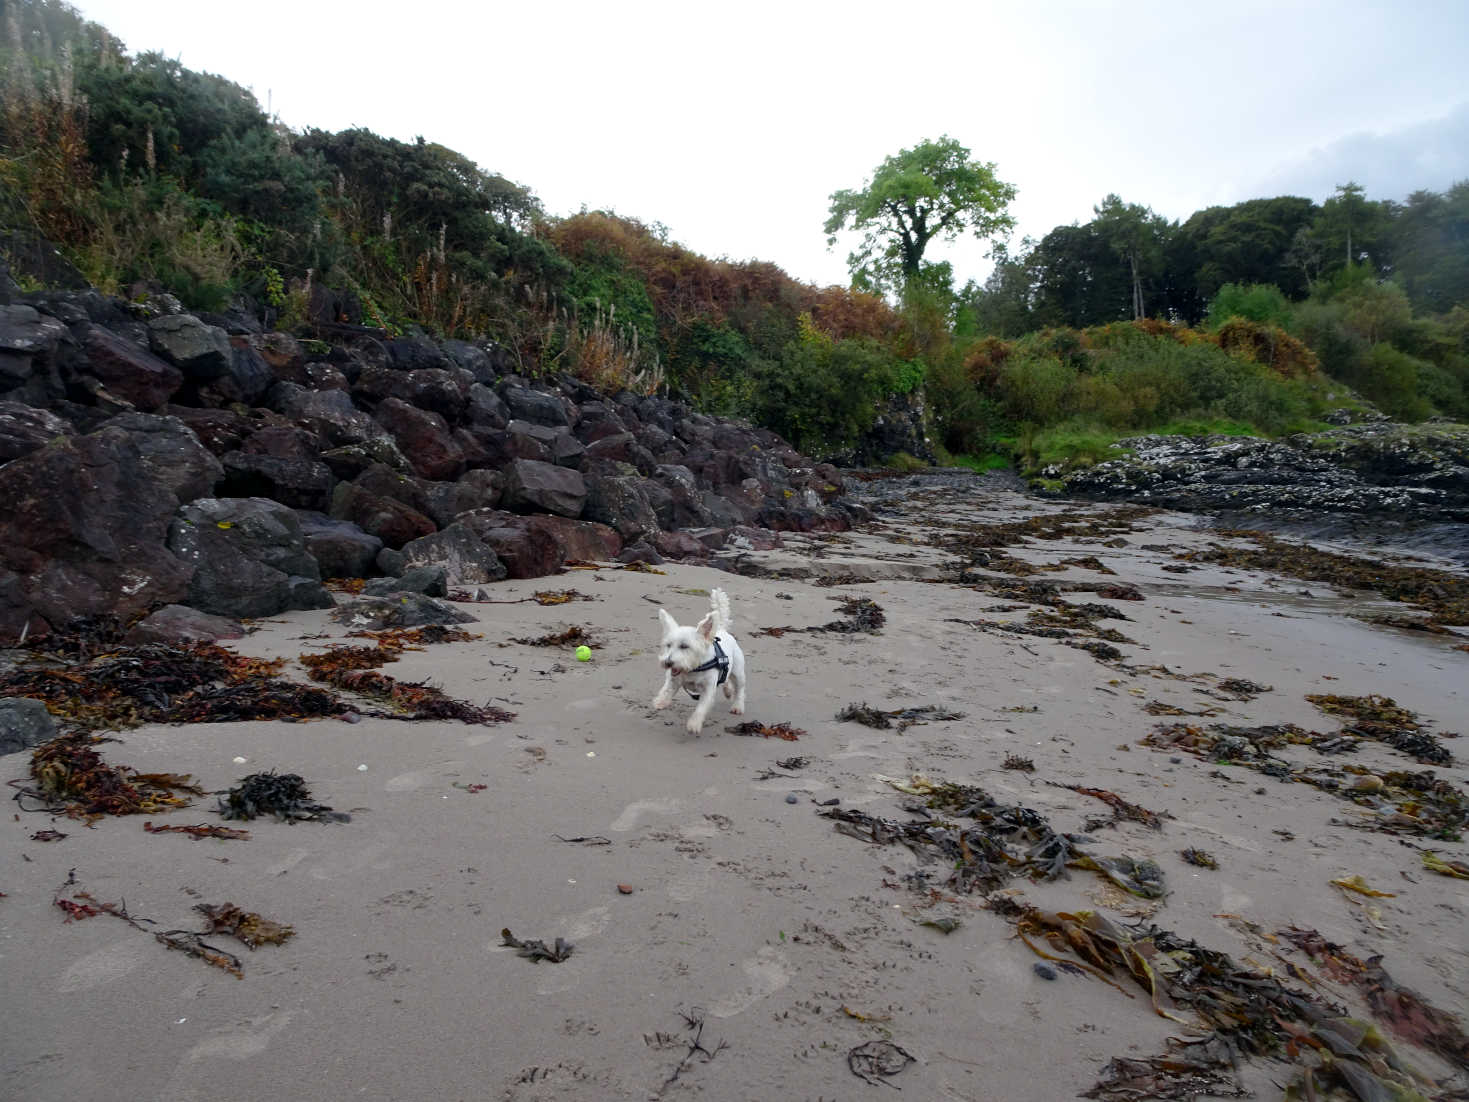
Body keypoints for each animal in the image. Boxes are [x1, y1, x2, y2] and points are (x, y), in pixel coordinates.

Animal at [652, 590, 746, 737]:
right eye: (668, 645)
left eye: (684, 646)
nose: (668, 662)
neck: (693, 668)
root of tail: (722, 630)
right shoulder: (674, 680)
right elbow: (667, 689)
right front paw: (661, 702)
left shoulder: (708, 690)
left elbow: (701, 709)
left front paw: (694, 725)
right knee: (726, 679)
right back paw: (728, 691)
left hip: (738, 672)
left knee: (740, 689)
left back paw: (738, 706)